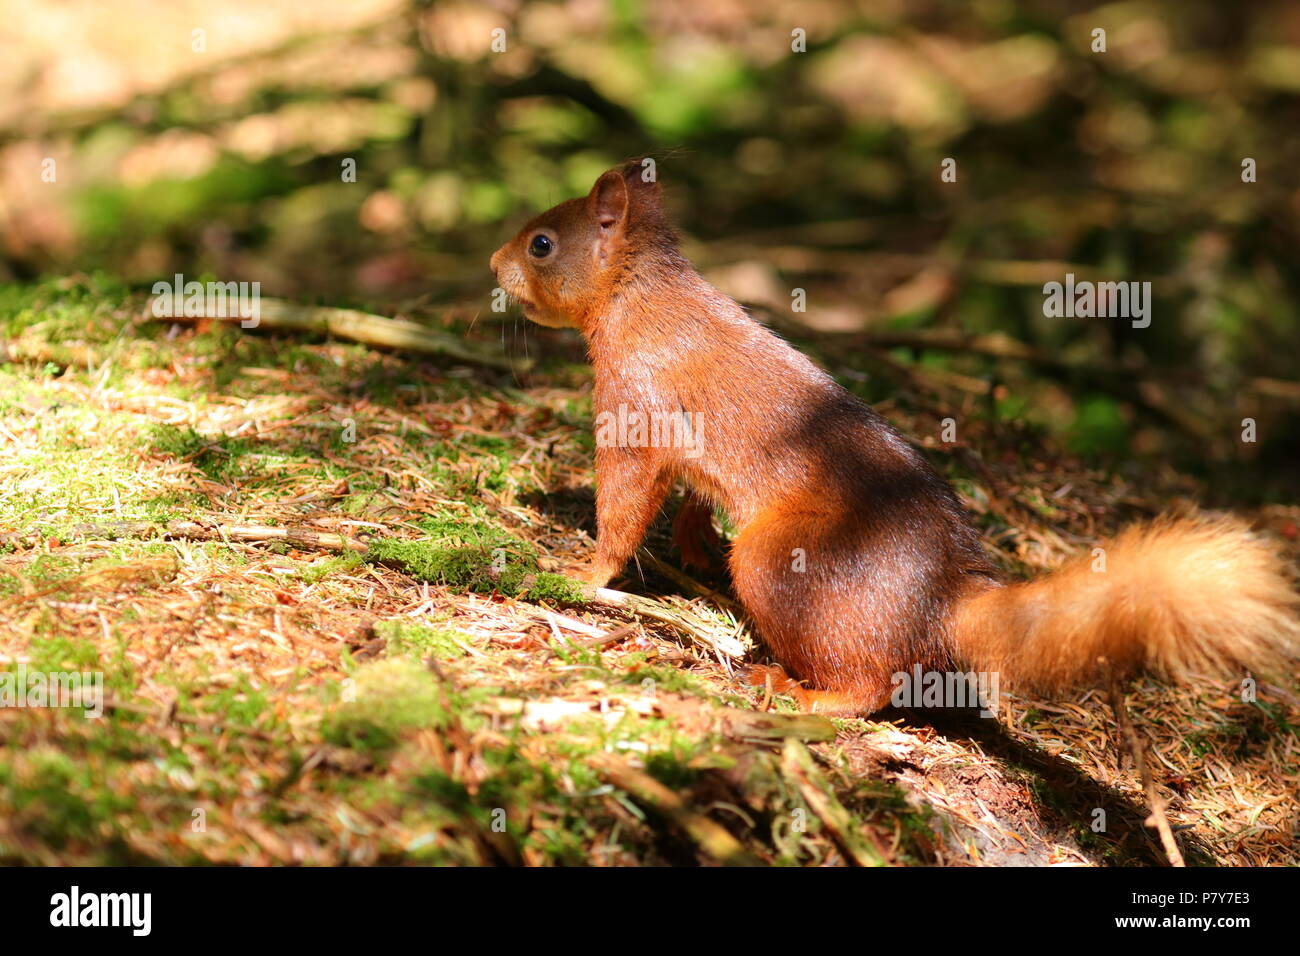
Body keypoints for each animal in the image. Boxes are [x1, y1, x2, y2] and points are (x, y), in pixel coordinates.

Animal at [488, 158, 1300, 712]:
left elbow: (625, 502)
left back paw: (797, 690)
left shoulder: (636, 402)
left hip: (785, 562)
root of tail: (939, 603)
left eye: (541, 243)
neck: (637, 298)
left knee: (868, 687)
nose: (492, 262)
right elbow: (690, 494)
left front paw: (582, 572)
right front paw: (692, 546)